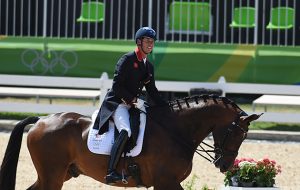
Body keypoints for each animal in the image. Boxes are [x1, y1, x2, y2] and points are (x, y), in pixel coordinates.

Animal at [0, 95, 258, 190]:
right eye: (237, 134)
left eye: (245, 137)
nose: (224, 165)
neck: (175, 131)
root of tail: (41, 120)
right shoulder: (166, 182)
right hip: (52, 176)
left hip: (62, 174)